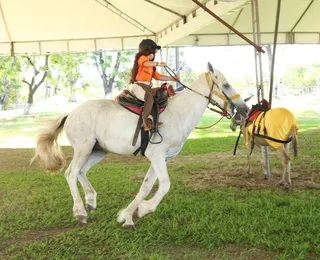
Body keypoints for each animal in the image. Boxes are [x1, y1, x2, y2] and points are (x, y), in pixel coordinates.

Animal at [33, 63, 248, 228]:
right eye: (226, 85)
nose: (244, 110)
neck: (178, 113)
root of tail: (70, 114)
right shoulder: (157, 155)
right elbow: (164, 185)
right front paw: (144, 209)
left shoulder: (161, 159)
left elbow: (146, 187)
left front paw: (129, 215)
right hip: (83, 149)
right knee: (71, 173)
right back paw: (80, 212)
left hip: (97, 151)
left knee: (81, 171)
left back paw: (91, 201)